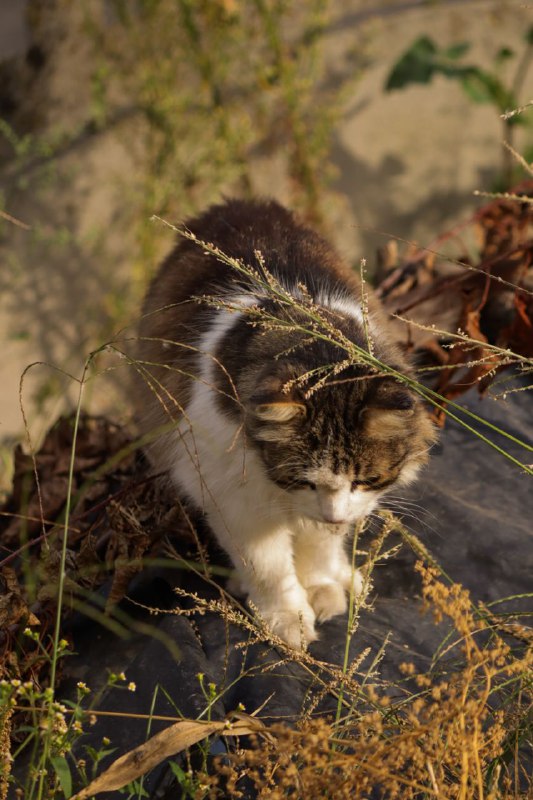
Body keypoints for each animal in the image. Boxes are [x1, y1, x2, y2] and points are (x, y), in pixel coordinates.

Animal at [134, 200, 436, 648]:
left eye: (365, 480)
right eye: (304, 480)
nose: (335, 517)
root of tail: (238, 203)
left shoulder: (333, 507)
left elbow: (318, 547)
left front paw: (323, 588)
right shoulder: (233, 498)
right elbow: (269, 569)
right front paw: (287, 620)